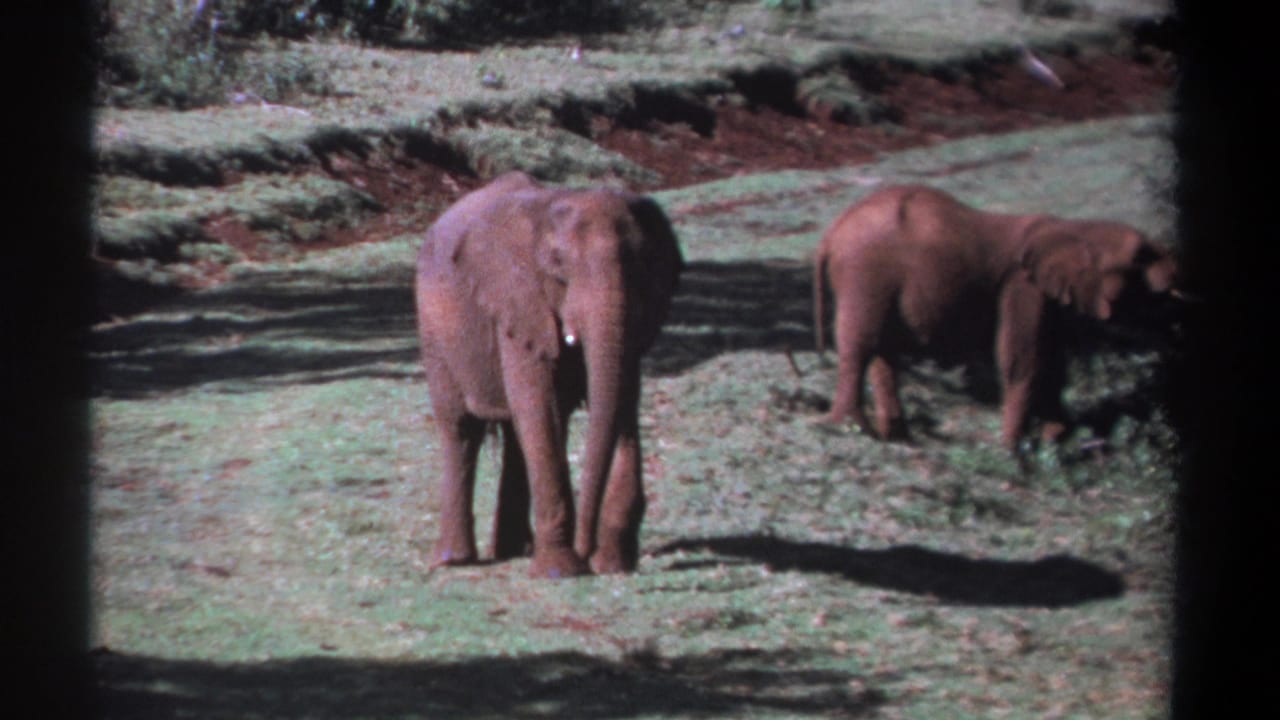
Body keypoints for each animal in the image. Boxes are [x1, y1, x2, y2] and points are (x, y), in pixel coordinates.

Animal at [415, 171, 683, 578]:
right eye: (558, 264)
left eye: (642, 263)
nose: (587, 551)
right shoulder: (518, 302)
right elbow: (539, 405)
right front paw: (562, 571)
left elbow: (622, 398)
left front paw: (613, 564)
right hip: (435, 333)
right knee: (461, 429)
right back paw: (454, 561)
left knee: (514, 435)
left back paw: (514, 550)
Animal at [812, 184, 1179, 450]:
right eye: (1140, 259)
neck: (1072, 228)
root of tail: (831, 233)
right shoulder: (1023, 286)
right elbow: (1023, 358)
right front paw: (1011, 450)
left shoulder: (1048, 298)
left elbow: (1053, 361)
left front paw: (1054, 441)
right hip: (865, 271)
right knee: (861, 345)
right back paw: (851, 428)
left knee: (882, 350)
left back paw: (898, 438)